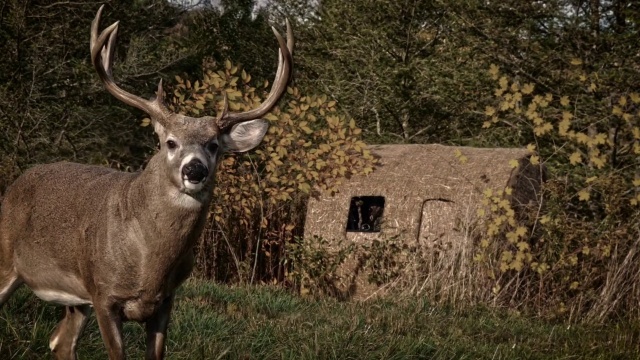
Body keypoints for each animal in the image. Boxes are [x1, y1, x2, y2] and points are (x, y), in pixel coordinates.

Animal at [0, 5, 294, 360]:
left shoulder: (165, 300)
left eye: (214, 145)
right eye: (169, 142)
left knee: (60, 342)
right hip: (7, 259)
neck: (149, 264)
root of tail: (14, 184)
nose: (195, 169)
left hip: (75, 299)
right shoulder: (104, 294)